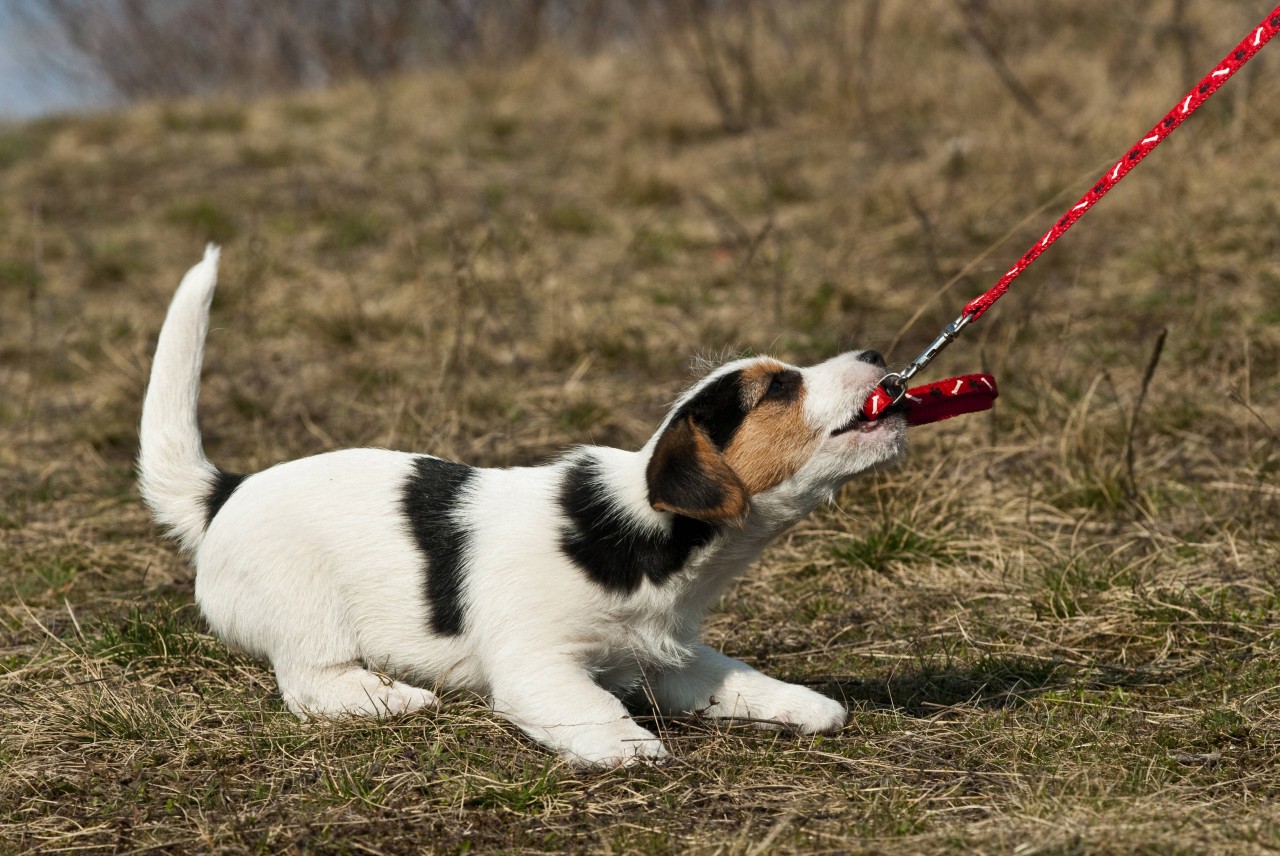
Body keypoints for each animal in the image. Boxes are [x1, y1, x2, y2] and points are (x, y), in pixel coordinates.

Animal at [137, 243, 901, 762]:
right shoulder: (538, 665)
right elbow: (591, 705)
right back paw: (389, 697)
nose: (874, 351)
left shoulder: (667, 658)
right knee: (307, 684)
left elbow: (738, 677)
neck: (642, 533)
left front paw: (807, 704)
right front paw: (628, 745)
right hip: (306, 615)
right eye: (779, 387)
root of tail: (226, 491)